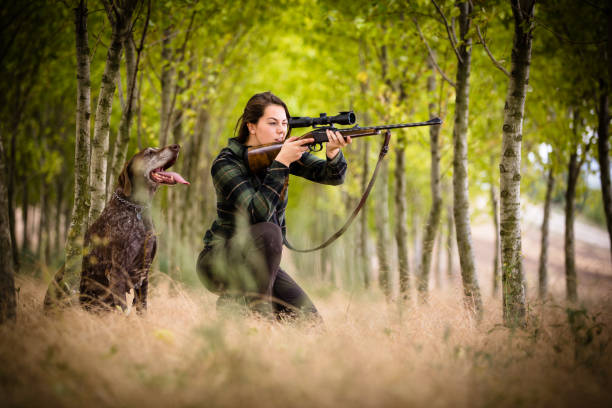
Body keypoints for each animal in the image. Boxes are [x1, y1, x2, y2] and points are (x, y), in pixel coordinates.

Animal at [43, 145, 188, 314]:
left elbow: (142, 308)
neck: (137, 208)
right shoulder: (118, 272)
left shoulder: (144, 274)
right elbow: (124, 310)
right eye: (150, 152)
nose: (176, 146)